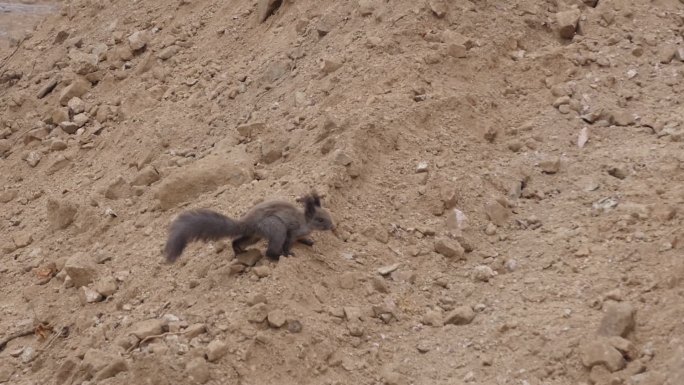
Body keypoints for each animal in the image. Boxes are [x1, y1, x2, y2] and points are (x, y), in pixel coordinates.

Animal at [163, 191, 334, 262]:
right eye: (320, 220)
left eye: (329, 214)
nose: (332, 226)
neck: (305, 222)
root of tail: (247, 222)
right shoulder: (292, 230)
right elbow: (289, 242)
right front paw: (288, 251)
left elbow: (302, 239)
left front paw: (308, 241)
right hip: (275, 228)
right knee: (269, 252)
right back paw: (278, 256)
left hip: (254, 236)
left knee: (237, 241)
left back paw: (239, 251)